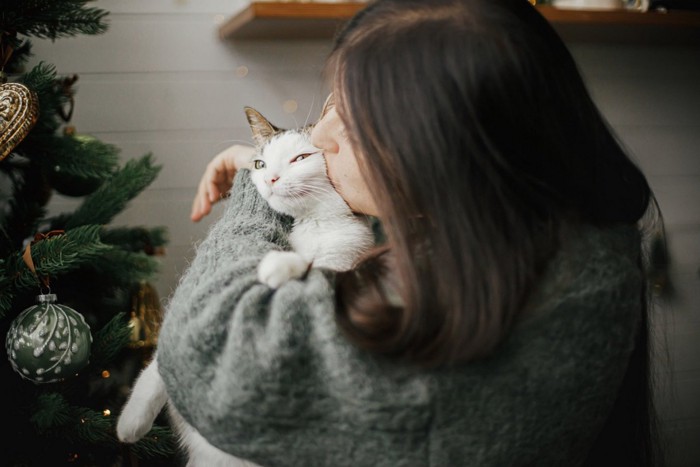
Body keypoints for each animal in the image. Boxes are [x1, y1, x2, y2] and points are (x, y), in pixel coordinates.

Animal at [117, 104, 374, 466]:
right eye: (260, 163)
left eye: (301, 158)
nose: (270, 179)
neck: (311, 223)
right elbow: (162, 360)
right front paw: (131, 420)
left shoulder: (350, 255)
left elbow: (320, 268)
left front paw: (279, 264)